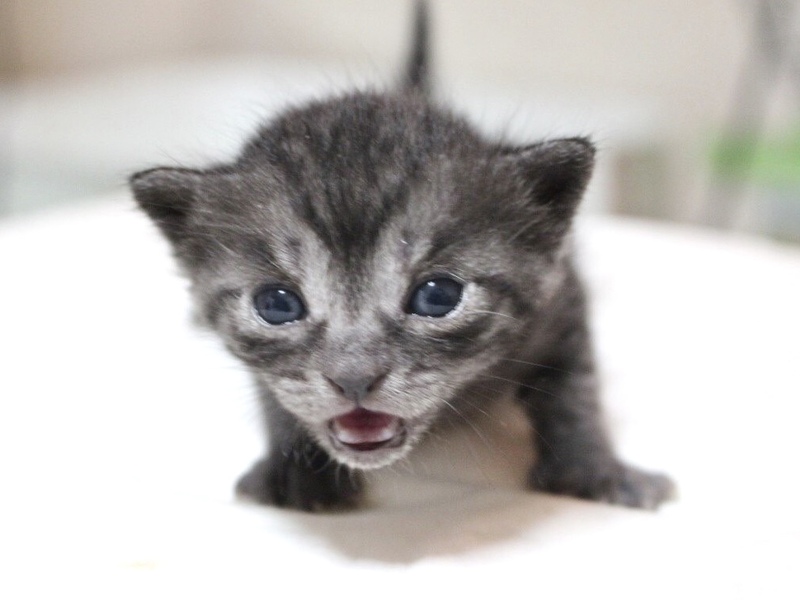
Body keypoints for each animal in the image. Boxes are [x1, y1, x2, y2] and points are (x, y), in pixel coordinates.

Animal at [130, 2, 674, 512]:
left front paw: (592, 469)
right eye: (276, 305)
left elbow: (573, 387)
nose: (353, 378)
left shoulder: (561, 296)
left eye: (438, 296)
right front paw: (298, 470)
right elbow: (275, 394)